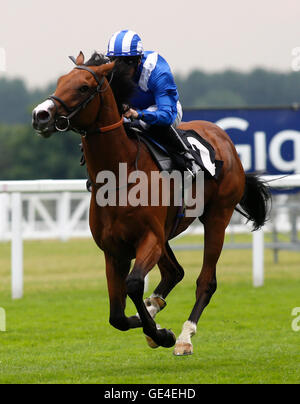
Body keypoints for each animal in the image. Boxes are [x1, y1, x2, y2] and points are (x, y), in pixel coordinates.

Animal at [31, 52, 270, 356]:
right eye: (61, 81)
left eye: (84, 87)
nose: (41, 115)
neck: (119, 175)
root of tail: (223, 136)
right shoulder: (114, 251)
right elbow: (117, 317)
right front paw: (152, 324)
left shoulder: (150, 239)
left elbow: (133, 285)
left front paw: (163, 334)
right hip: (167, 233)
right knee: (174, 272)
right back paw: (155, 307)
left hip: (217, 217)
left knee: (205, 281)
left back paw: (184, 337)